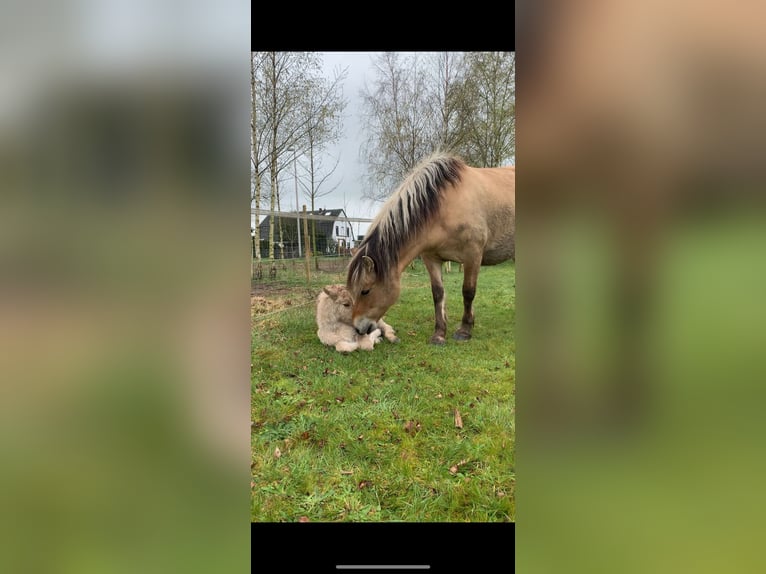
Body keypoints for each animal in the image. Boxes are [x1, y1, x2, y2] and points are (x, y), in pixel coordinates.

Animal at [346, 151, 516, 344]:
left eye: (365, 291)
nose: (358, 328)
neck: (445, 206)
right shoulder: (431, 258)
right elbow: (438, 293)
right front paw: (439, 334)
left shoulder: (473, 255)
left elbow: (468, 292)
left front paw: (464, 330)